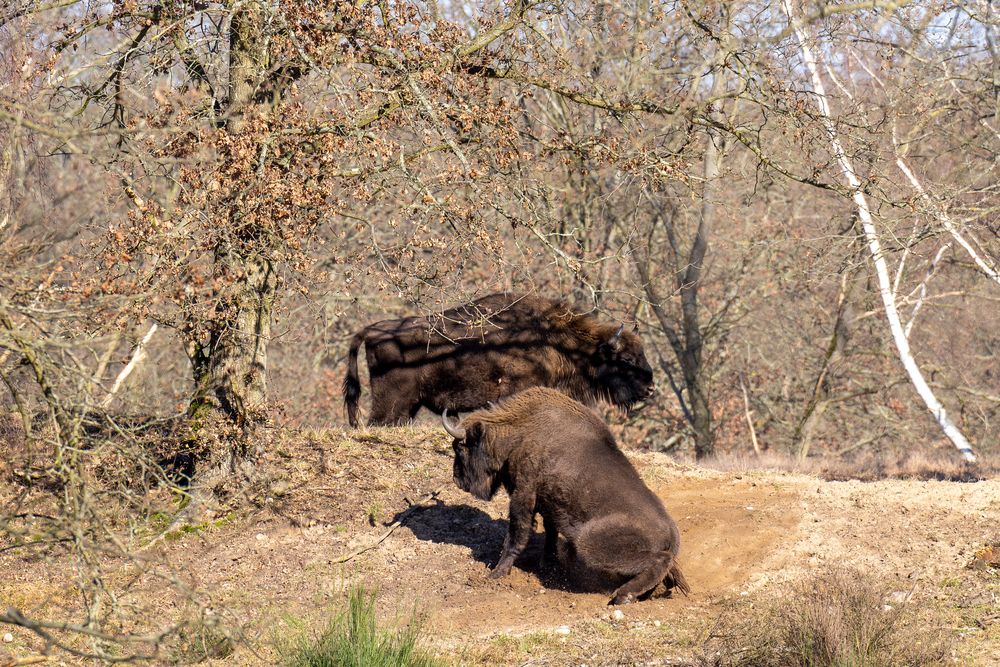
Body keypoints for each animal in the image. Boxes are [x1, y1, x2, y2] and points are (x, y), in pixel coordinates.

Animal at [444, 388, 688, 608]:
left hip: (588, 541)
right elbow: (550, 532)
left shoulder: (523, 495)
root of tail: (671, 533)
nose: (457, 479)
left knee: (661, 560)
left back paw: (622, 596)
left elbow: (516, 537)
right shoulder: (548, 504)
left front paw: (496, 573)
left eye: (461, 448)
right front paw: (548, 563)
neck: (519, 430)